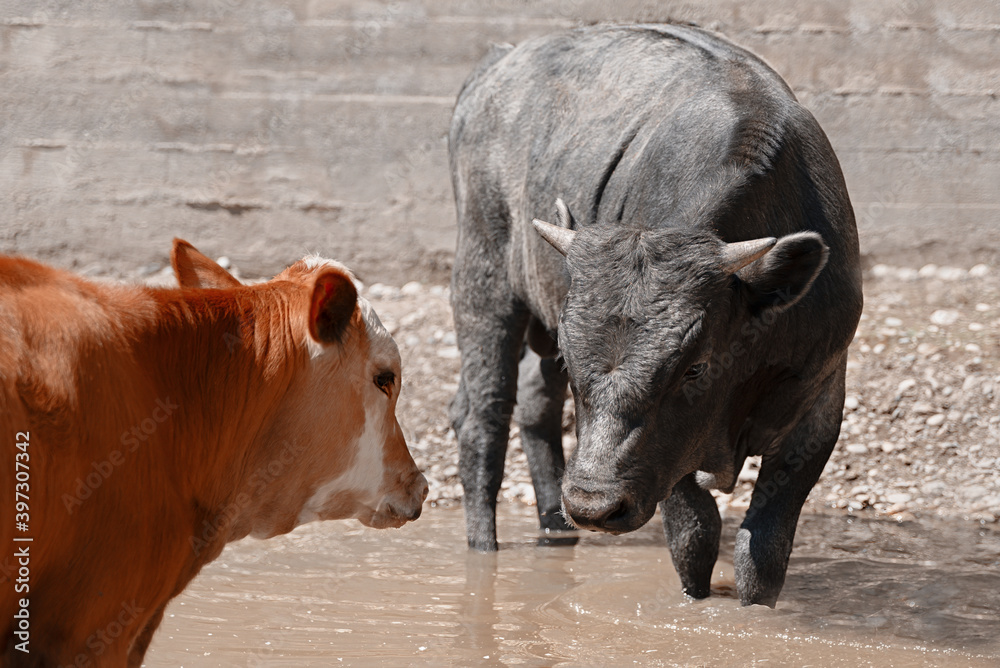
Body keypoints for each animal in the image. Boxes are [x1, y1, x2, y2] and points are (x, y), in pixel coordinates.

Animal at [448, 23, 862, 607]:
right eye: (576, 366)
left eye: (695, 368)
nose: (593, 506)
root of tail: (498, 63)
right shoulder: (671, 461)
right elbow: (694, 535)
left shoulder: (819, 404)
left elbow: (765, 549)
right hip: (482, 281)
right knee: (482, 420)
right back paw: (485, 552)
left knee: (533, 405)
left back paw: (556, 530)